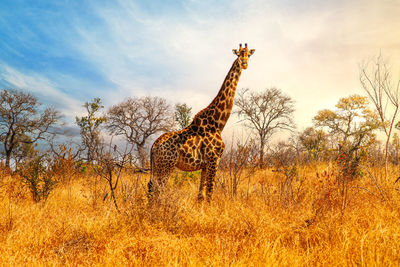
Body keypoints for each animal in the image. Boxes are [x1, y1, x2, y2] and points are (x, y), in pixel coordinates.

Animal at [148, 44, 256, 202]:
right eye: (239, 54)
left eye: (248, 55)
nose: (244, 64)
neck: (218, 123)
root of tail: (154, 146)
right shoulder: (214, 160)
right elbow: (210, 193)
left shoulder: (205, 165)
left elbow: (201, 195)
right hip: (166, 165)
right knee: (159, 191)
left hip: (157, 166)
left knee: (151, 188)